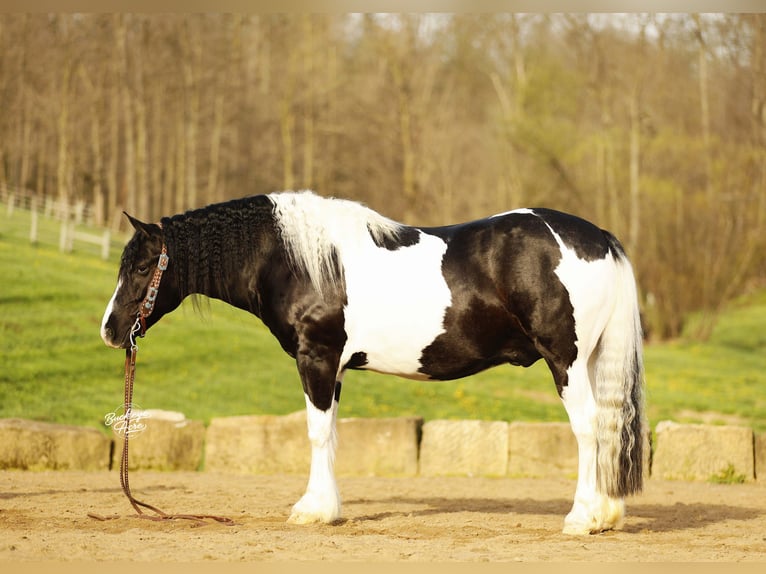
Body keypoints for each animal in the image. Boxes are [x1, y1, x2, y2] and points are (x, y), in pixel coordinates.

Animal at [101, 190, 646, 535]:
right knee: (611, 424)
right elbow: (332, 435)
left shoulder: (316, 358)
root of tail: (598, 237)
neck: (297, 260)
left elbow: (316, 433)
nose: (110, 330)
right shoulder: (336, 368)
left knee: (588, 428)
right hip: (591, 361)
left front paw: (312, 510)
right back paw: (607, 514)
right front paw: (328, 508)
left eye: (144, 266)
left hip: (565, 361)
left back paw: (582, 517)